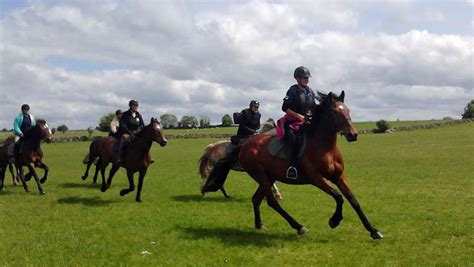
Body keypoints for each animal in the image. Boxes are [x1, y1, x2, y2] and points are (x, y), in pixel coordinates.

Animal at [239, 92, 384, 241]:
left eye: (347, 110)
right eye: (335, 112)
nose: (353, 135)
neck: (326, 148)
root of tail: (245, 145)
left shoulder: (339, 177)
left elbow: (353, 201)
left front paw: (373, 230)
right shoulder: (316, 178)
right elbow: (339, 197)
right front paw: (334, 221)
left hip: (269, 177)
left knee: (256, 199)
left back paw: (259, 224)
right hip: (261, 176)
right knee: (272, 202)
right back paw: (299, 227)